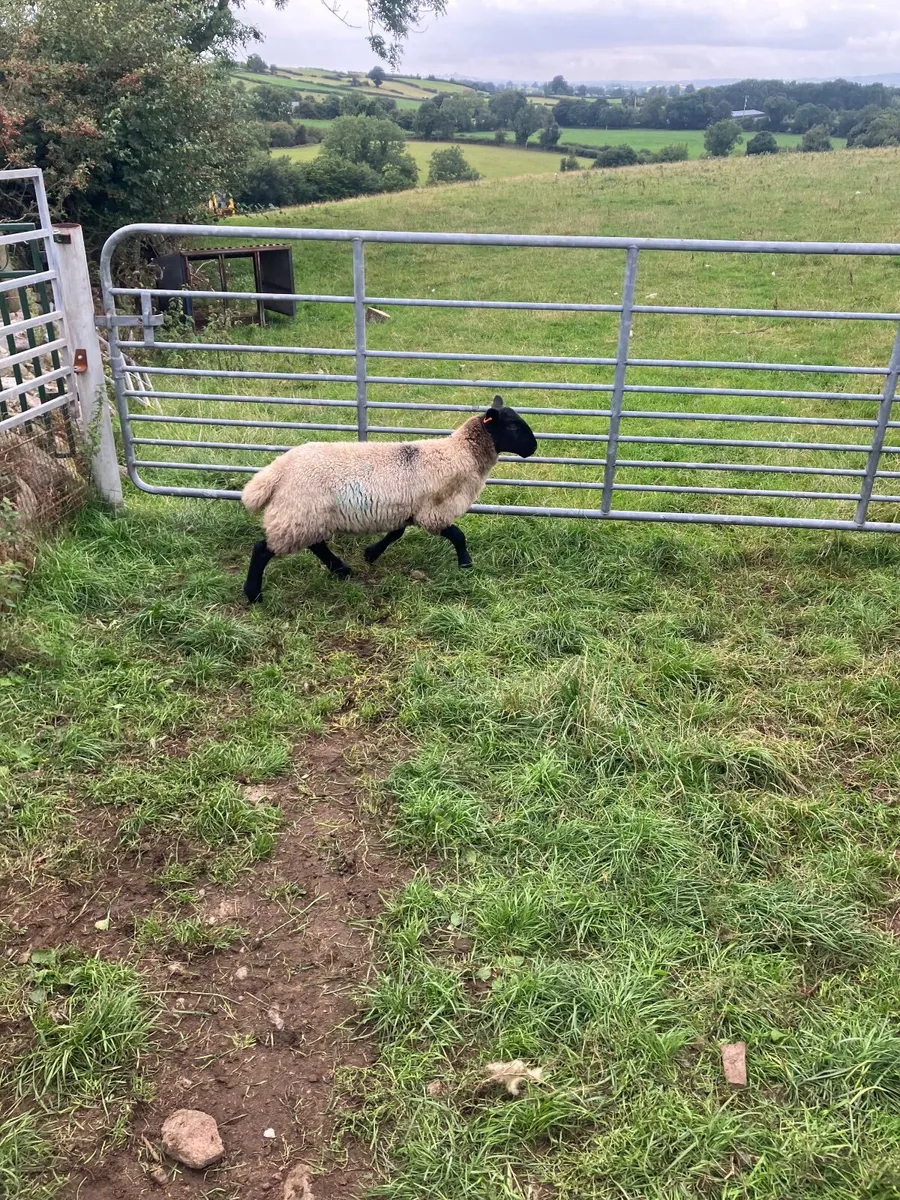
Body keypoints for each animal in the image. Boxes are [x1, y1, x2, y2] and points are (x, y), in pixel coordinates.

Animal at [240, 394, 537, 603]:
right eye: (513, 426)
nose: (534, 448)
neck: (461, 453)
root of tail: (276, 471)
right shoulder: (434, 511)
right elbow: (457, 535)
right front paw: (465, 564)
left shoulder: (409, 508)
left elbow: (396, 533)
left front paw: (371, 553)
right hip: (298, 512)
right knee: (263, 549)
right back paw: (253, 594)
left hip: (307, 515)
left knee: (316, 544)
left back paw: (341, 570)